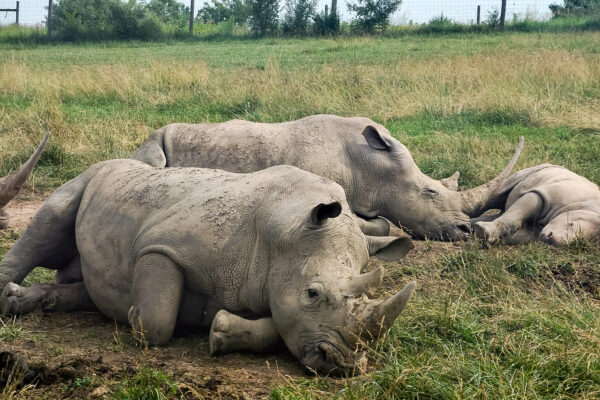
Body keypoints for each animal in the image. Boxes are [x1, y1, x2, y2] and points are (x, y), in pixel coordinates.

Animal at [0, 159, 414, 376]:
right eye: (312, 293)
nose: (341, 364)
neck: (284, 232)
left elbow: (279, 326)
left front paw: (219, 331)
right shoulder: (162, 247)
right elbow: (156, 321)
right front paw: (133, 316)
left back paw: (24, 301)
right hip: (87, 178)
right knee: (50, 219)